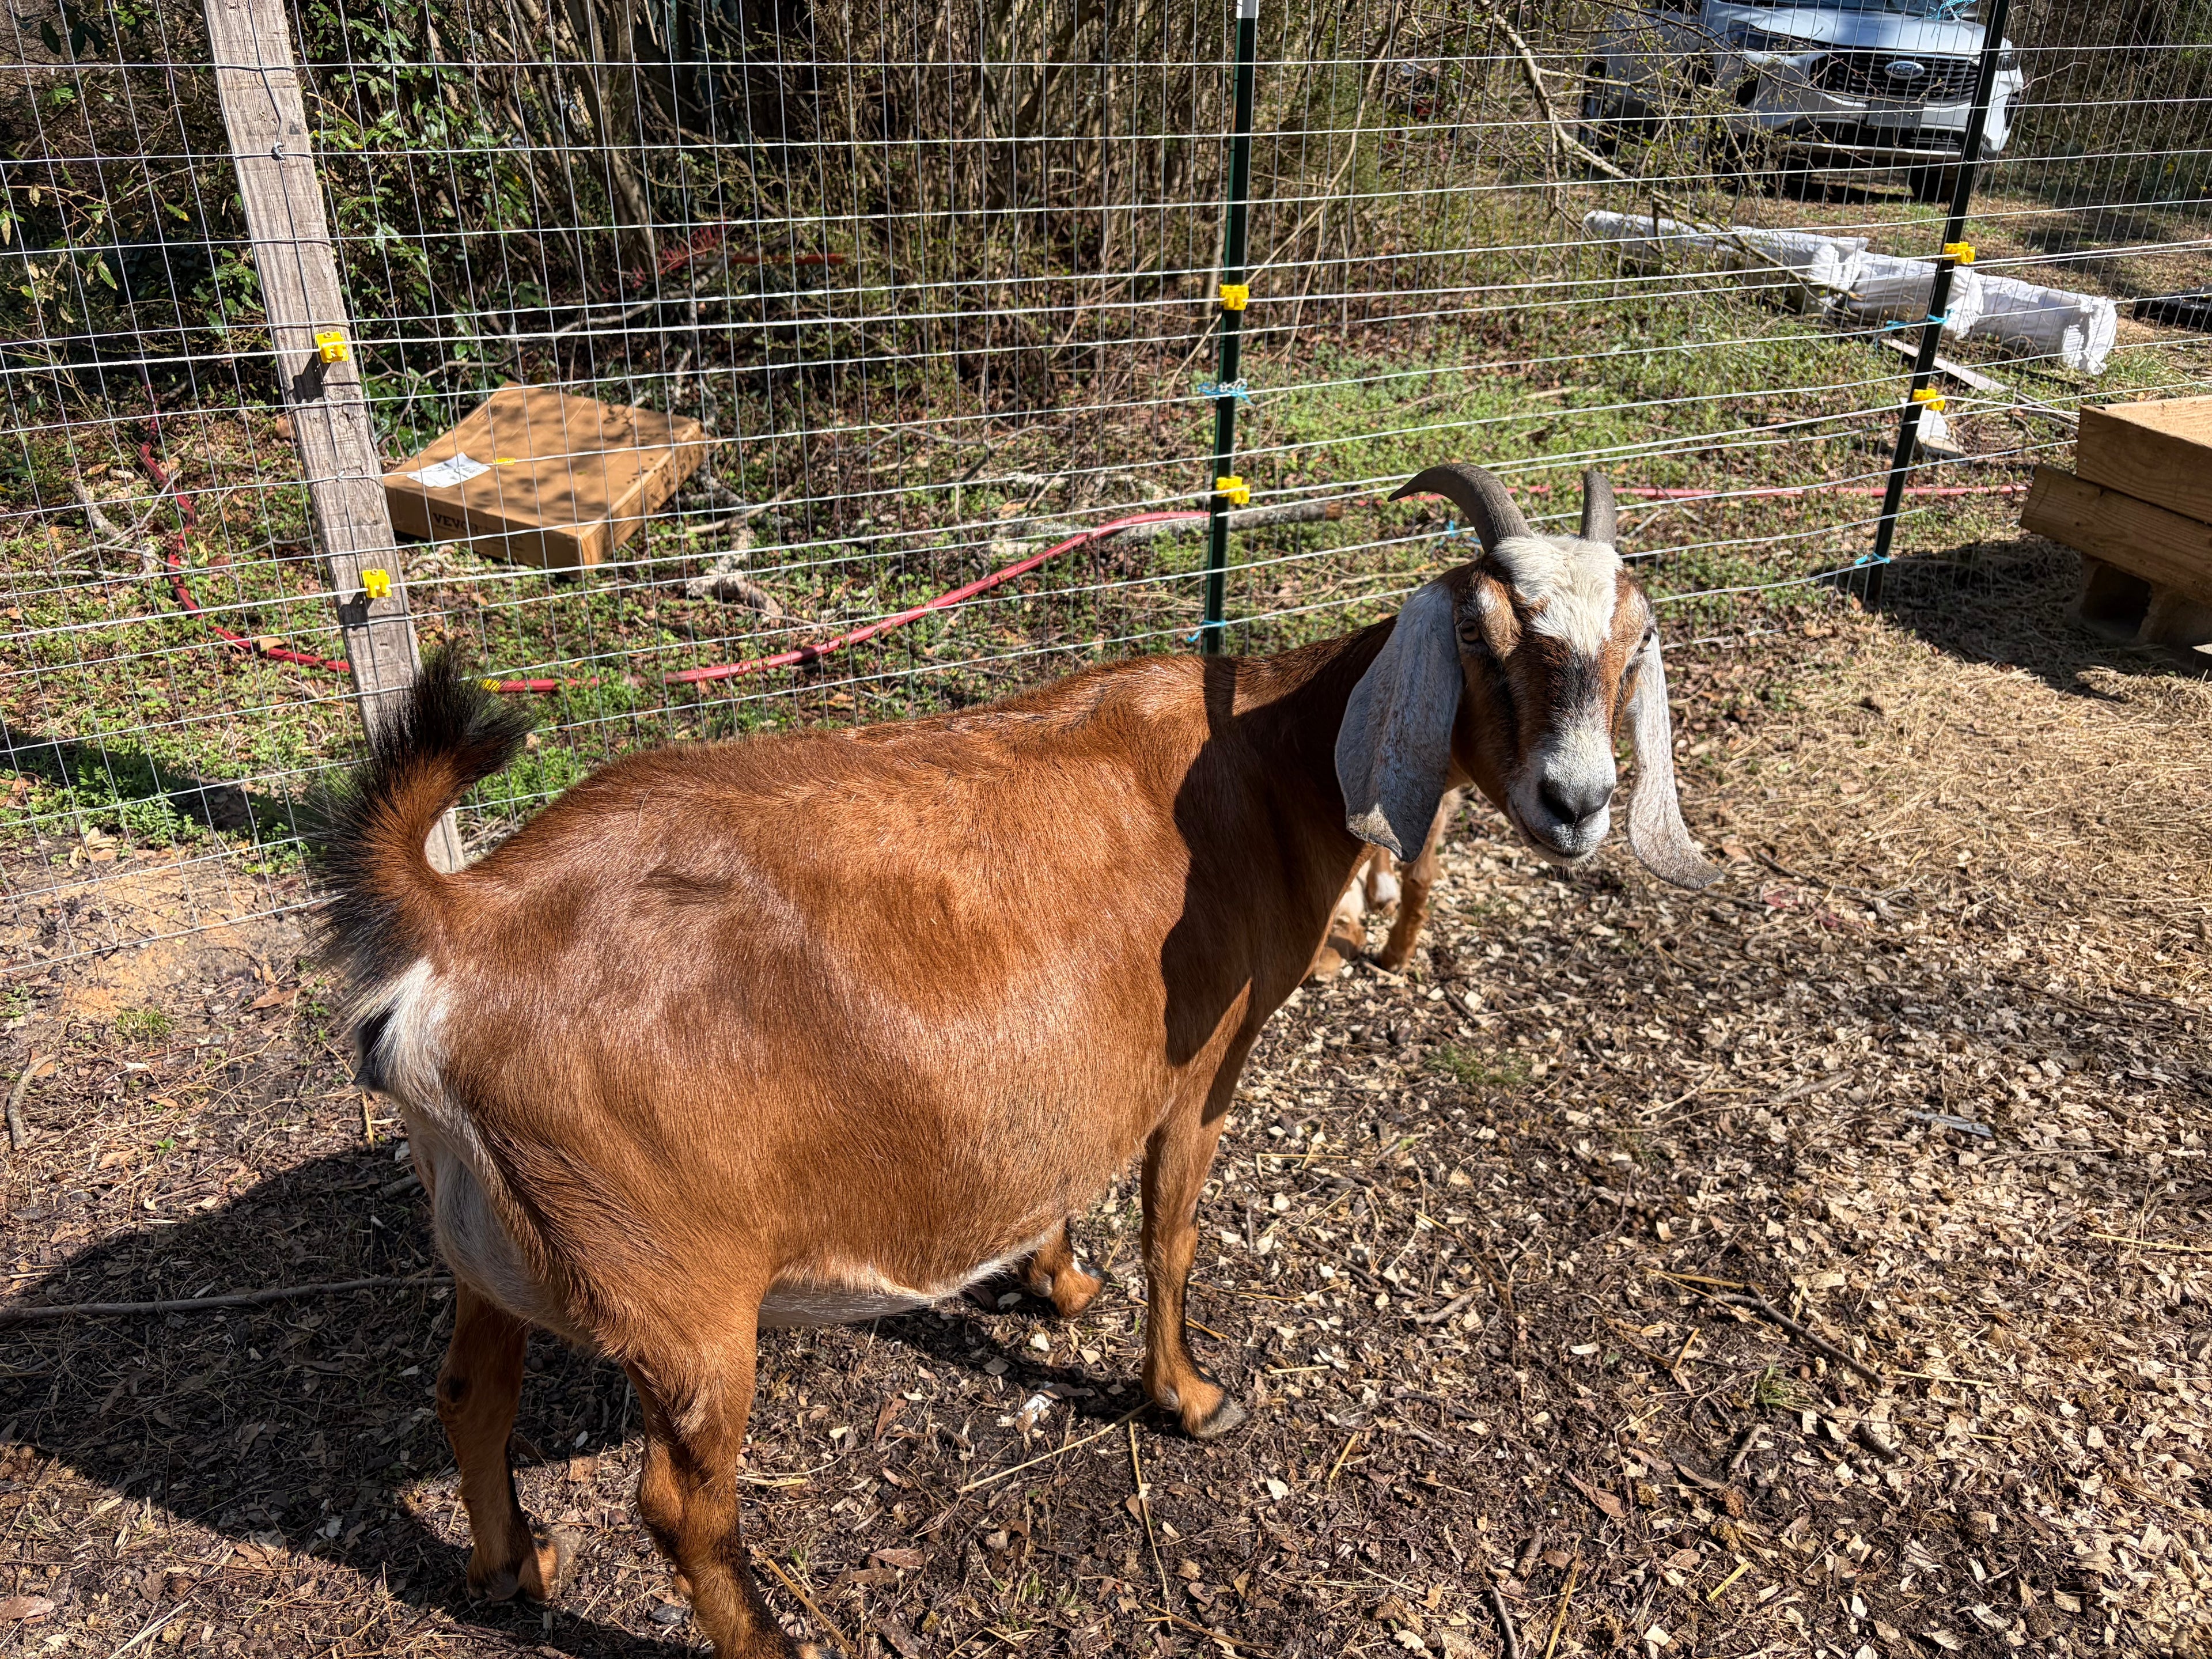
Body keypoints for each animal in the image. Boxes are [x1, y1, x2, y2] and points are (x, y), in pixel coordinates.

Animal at [319, 463, 1715, 1658]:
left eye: (1632, 645)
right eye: (1483, 639)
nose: (1579, 804)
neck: (1272, 766)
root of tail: (464, 921)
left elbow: (1058, 1176)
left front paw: (1057, 1279)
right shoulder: (1203, 1070)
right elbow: (1174, 1232)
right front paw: (1188, 1396)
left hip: (495, 1247)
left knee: (469, 1392)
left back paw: (512, 1567)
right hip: (682, 1297)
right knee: (678, 1504)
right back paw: (766, 1636)